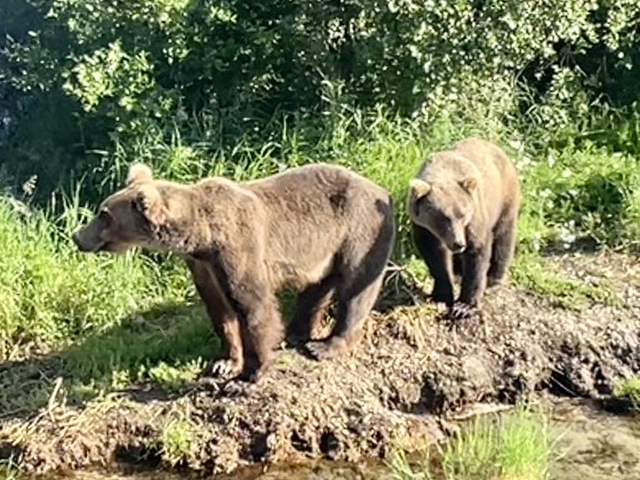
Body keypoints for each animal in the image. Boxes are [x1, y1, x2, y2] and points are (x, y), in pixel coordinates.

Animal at [73, 162, 396, 390]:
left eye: (103, 214)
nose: (77, 237)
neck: (201, 235)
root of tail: (382, 190)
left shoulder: (237, 247)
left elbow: (252, 303)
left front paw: (251, 374)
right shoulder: (202, 265)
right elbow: (220, 310)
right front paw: (226, 362)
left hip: (360, 230)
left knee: (356, 289)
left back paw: (325, 346)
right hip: (323, 250)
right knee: (316, 288)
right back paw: (297, 331)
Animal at [406, 137, 521, 319]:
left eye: (462, 214)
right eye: (442, 217)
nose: (459, 243)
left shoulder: (474, 218)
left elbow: (477, 253)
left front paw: (464, 306)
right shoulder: (423, 227)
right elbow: (434, 255)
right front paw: (441, 294)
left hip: (505, 198)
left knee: (504, 236)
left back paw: (494, 279)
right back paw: (458, 272)